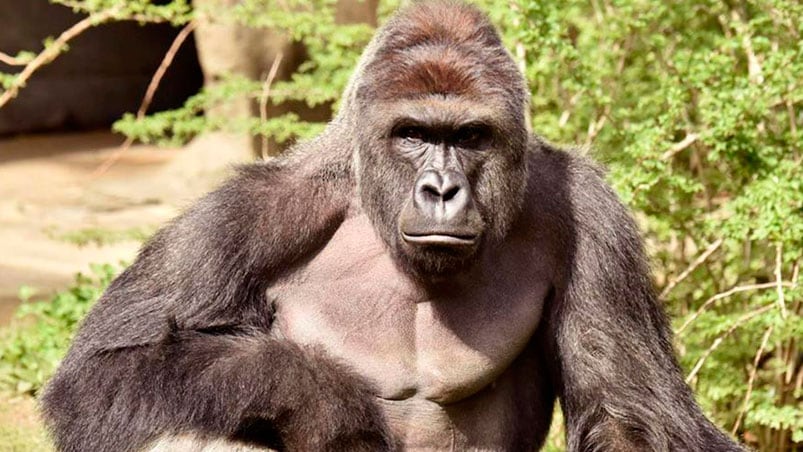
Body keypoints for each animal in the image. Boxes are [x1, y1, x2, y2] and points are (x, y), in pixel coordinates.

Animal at [42, 1, 748, 450]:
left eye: (469, 136)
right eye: (413, 134)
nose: (441, 190)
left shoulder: (591, 218)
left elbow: (630, 414)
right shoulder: (243, 217)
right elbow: (102, 372)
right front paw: (315, 393)